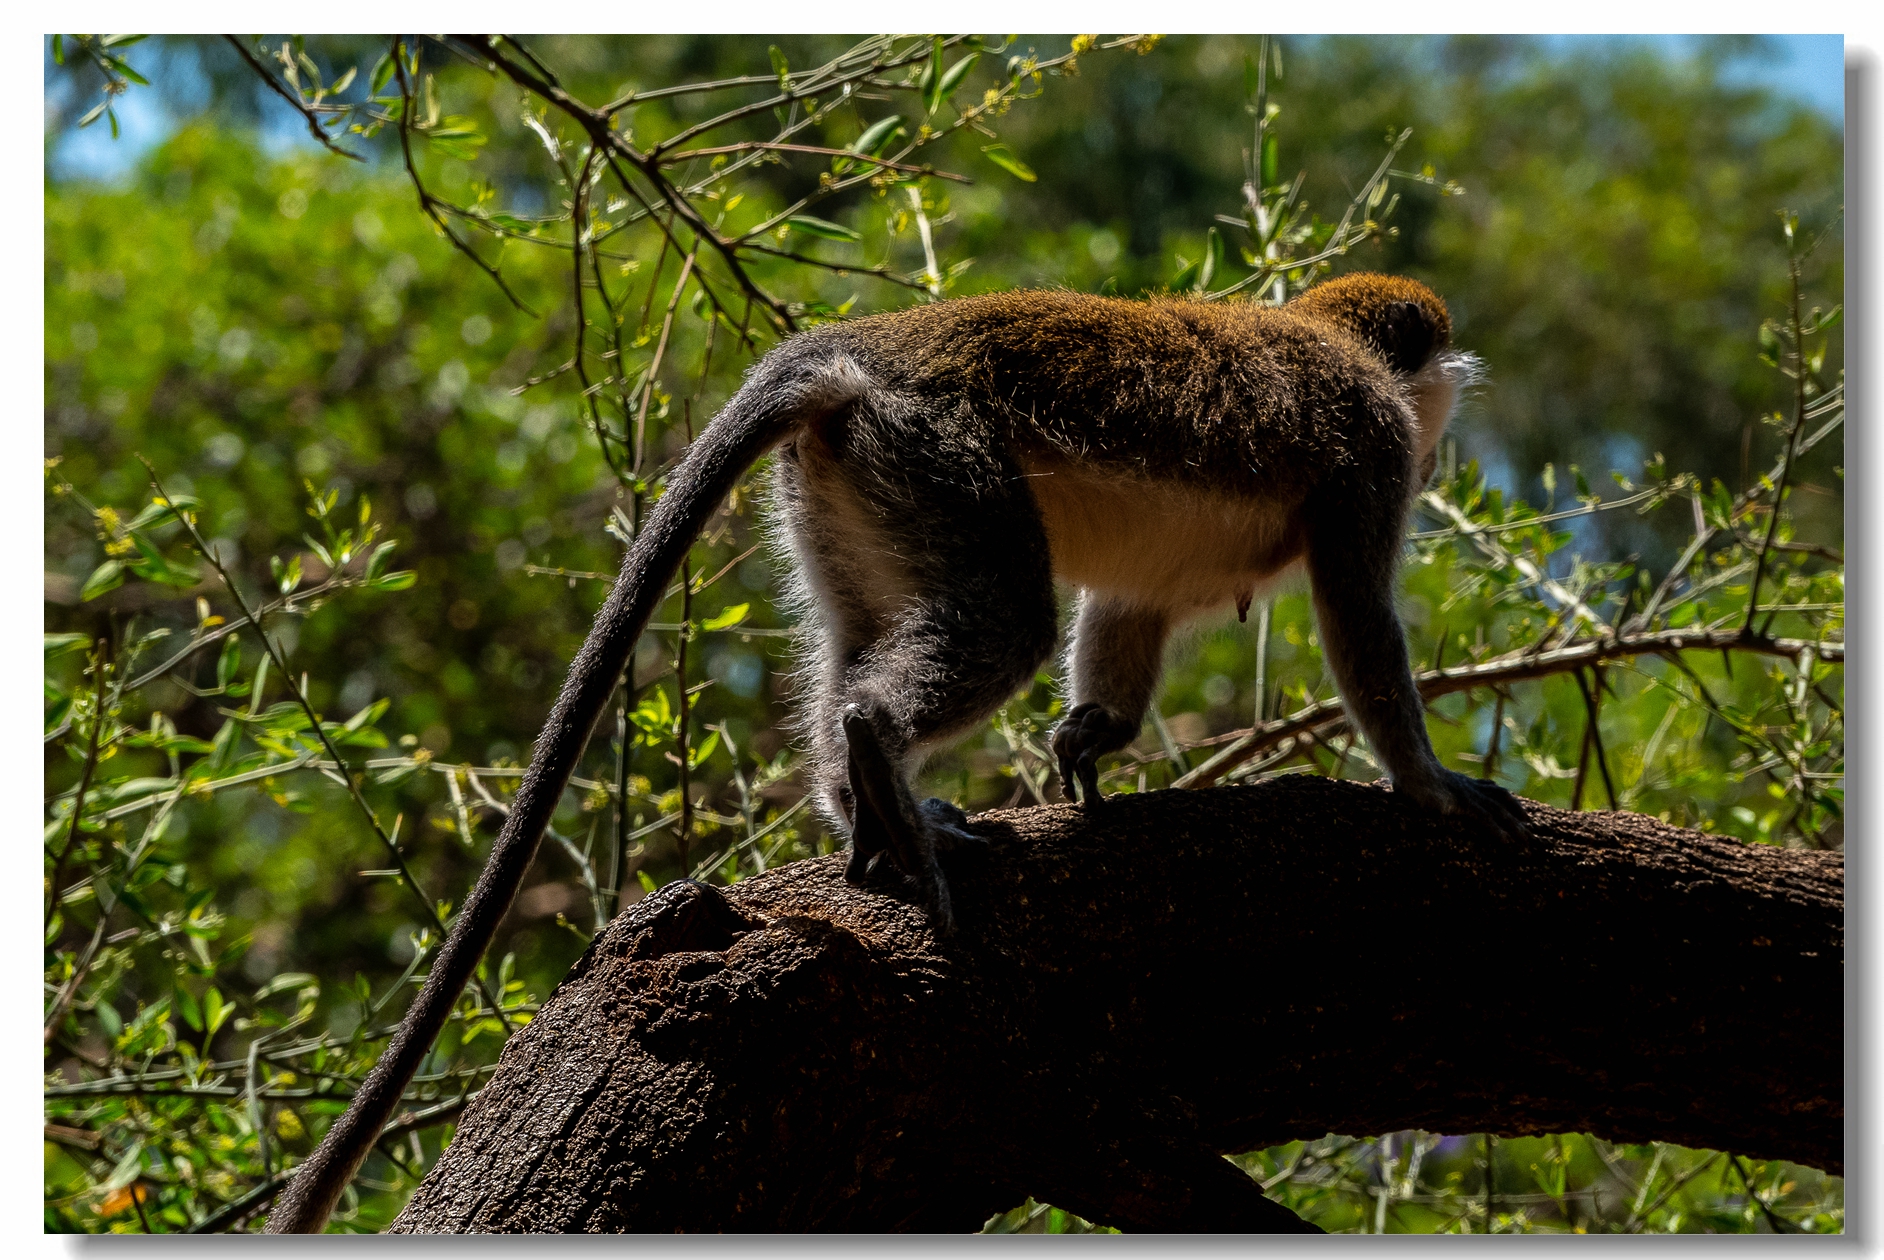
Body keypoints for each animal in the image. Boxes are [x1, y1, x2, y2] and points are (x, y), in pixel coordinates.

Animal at [265, 273, 1522, 1227]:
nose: (1450, 434)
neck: (1333, 340)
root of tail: (874, 344)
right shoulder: (1370, 453)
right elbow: (1357, 616)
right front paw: (1430, 785)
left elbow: (1132, 601)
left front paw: (1092, 739)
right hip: (938, 454)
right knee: (997, 623)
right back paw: (881, 772)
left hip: (847, 482)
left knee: (861, 641)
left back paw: (864, 810)